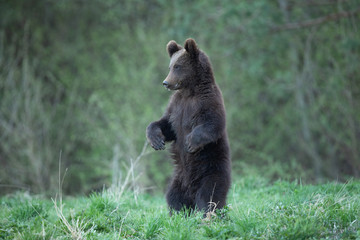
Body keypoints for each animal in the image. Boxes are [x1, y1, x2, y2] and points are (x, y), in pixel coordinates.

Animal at [146, 38, 231, 216]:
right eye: (170, 66)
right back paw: (178, 213)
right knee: (173, 196)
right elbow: (167, 125)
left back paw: (208, 215)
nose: (166, 82)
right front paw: (156, 141)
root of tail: (191, 190)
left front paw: (190, 143)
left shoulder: (208, 102)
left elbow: (213, 124)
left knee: (209, 196)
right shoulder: (176, 107)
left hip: (212, 171)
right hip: (178, 179)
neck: (189, 92)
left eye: (178, 66)